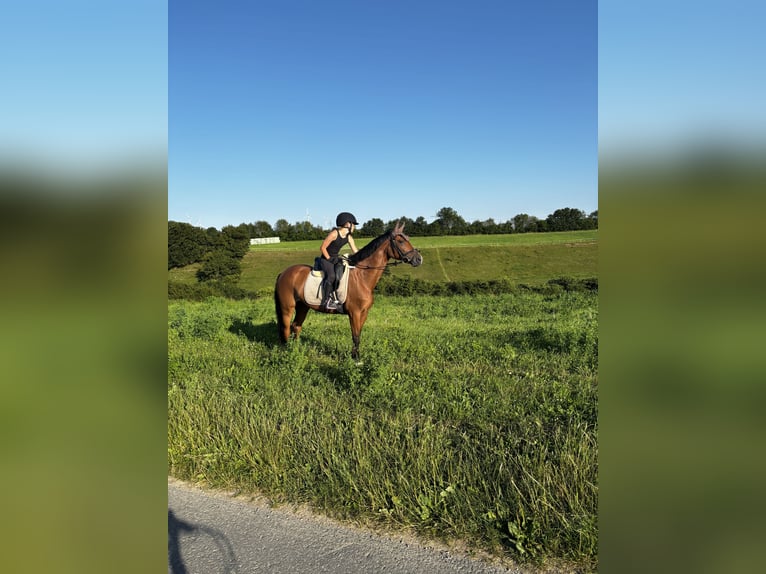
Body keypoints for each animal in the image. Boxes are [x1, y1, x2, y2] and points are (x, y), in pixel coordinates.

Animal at [274, 222, 423, 360]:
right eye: (401, 241)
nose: (419, 259)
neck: (362, 277)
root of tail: (283, 273)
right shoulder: (354, 313)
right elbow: (355, 336)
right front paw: (356, 359)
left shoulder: (364, 313)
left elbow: (358, 335)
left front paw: (356, 356)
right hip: (287, 308)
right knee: (286, 328)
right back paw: (286, 352)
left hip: (303, 306)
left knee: (296, 326)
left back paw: (296, 350)